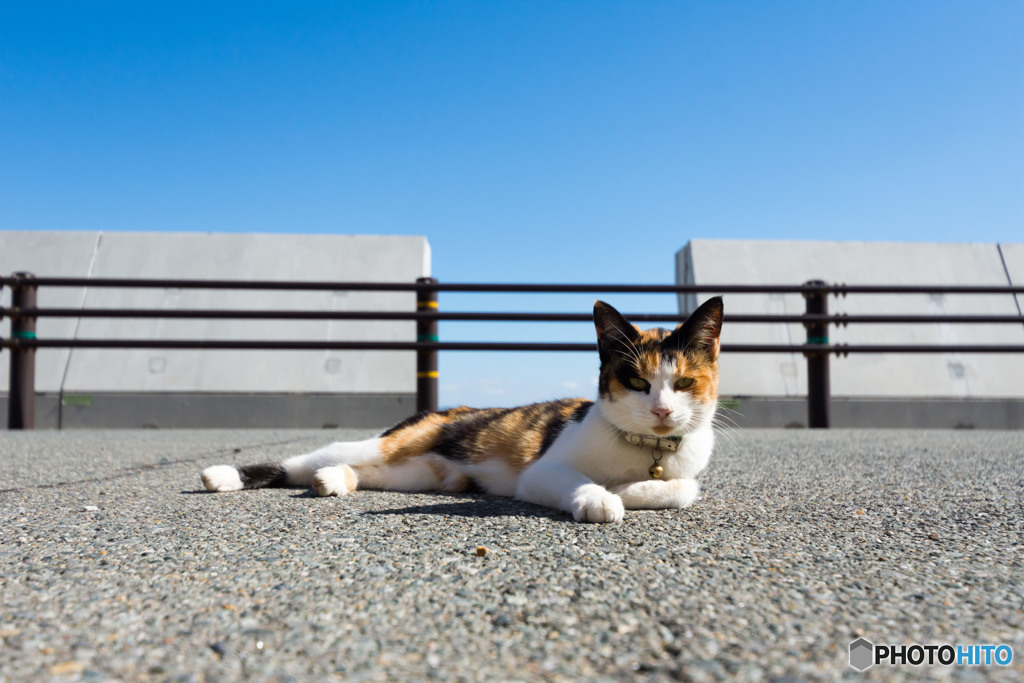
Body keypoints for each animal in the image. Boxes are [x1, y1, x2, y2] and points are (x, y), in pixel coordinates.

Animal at [199, 296, 724, 528]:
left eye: (683, 383)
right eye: (636, 382)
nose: (662, 411)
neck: (647, 449)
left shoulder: (684, 471)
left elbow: (683, 488)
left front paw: (626, 490)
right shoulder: (540, 472)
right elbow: (577, 480)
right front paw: (600, 497)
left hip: (418, 475)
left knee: (360, 472)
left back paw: (333, 480)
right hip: (389, 443)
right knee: (304, 459)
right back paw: (222, 475)